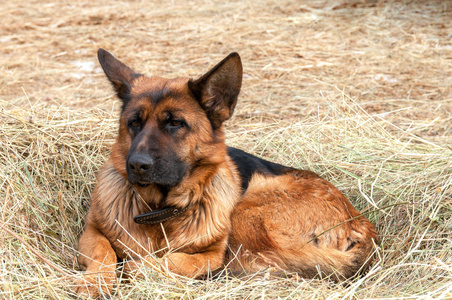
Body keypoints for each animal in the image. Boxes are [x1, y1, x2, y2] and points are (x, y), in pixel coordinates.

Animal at [75, 49, 378, 298]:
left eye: (175, 123)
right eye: (134, 123)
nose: (137, 165)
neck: (159, 210)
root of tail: (361, 223)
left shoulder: (212, 253)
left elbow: (176, 261)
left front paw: (140, 268)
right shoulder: (92, 231)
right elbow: (103, 253)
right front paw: (94, 282)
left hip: (248, 210)